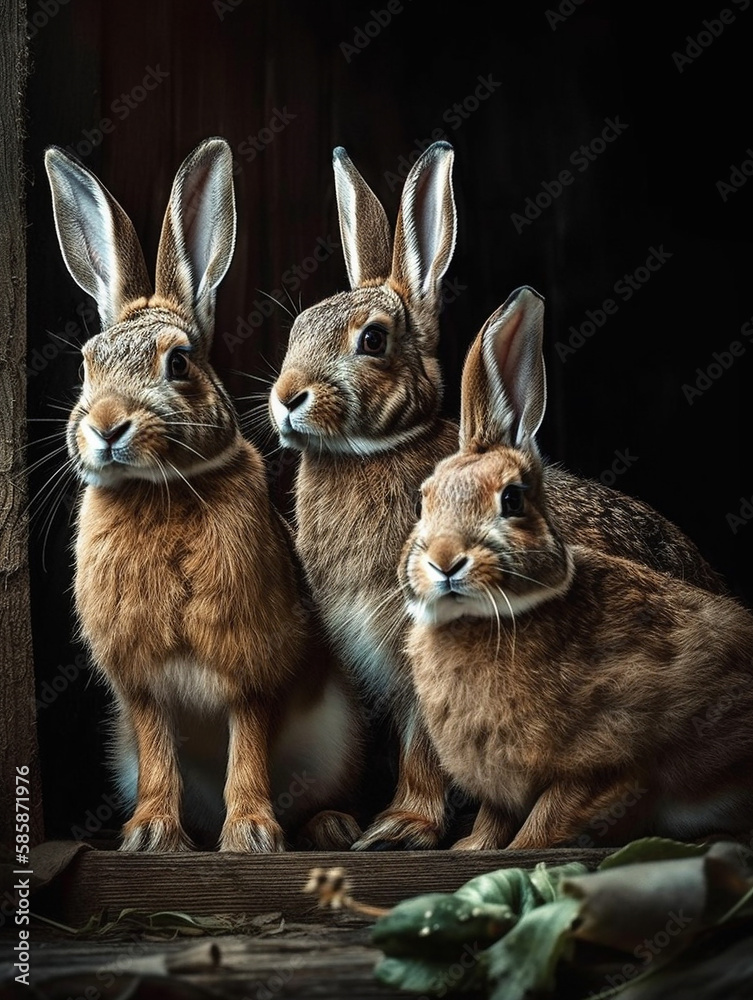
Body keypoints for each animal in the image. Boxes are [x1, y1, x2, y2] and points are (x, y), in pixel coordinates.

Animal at [44, 137, 364, 853]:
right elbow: (157, 741)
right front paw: (149, 836)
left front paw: (250, 835)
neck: (160, 491)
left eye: (179, 362)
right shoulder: (140, 685)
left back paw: (326, 826)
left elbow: (248, 737)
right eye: (85, 364)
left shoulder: (251, 666)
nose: (106, 425)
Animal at [400, 285, 753, 851]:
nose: (444, 561)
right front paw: (470, 846)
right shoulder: (502, 789)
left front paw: (515, 851)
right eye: (422, 501)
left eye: (512, 499)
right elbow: (495, 818)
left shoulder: (613, 765)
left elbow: (548, 819)